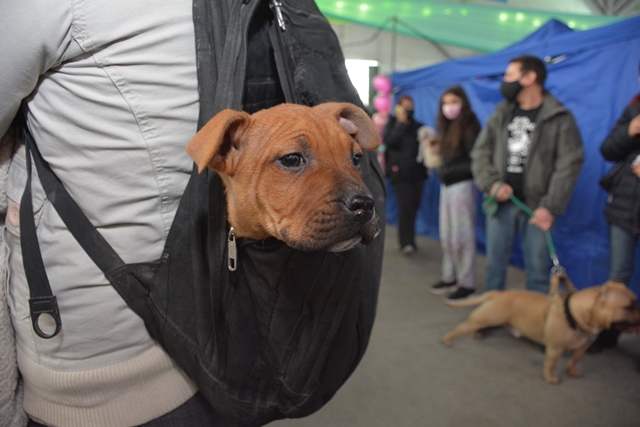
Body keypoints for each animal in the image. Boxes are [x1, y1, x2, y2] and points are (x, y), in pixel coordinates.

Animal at [442, 276, 640, 386]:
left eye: (635, 302)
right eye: (629, 306)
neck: (576, 314)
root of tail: (499, 294)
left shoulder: (582, 348)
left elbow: (574, 360)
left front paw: (573, 371)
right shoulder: (555, 348)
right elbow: (552, 364)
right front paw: (550, 378)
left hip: (487, 318)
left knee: (474, 327)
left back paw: (476, 334)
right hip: (486, 317)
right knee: (462, 327)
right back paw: (447, 340)